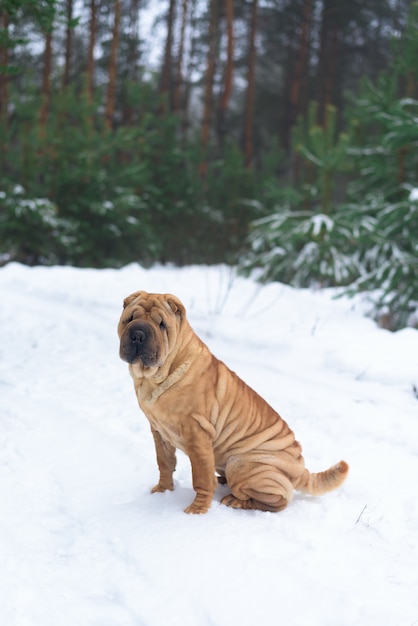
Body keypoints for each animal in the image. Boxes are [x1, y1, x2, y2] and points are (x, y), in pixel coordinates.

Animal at [118, 288, 350, 512]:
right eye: (130, 318)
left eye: (162, 324)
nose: (138, 334)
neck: (155, 376)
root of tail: (301, 468)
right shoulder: (159, 431)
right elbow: (165, 463)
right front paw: (162, 491)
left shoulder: (197, 433)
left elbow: (201, 478)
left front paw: (197, 510)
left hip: (242, 464)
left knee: (277, 502)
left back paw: (235, 501)